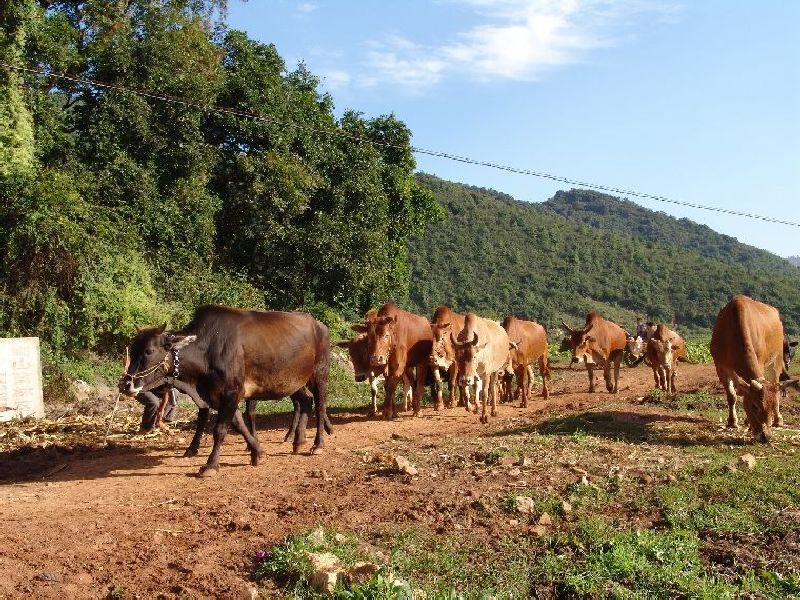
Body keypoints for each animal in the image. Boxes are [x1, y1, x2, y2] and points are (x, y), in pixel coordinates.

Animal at [118, 308, 328, 476]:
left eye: (149, 351)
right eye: (133, 349)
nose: (125, 384)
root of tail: (318, 324)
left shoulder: (232, 392)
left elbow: (220, 430)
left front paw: (210, 465)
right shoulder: (218, 396)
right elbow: (238, 424)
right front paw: (258, 452)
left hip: (319, 374)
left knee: (320, 406)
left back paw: (317, 444)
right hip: (295, 382)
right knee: (306, 401)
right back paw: (298, 441)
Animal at [712, 296, 800, 440]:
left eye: (769, 407)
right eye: (754, 406)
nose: (766, 436)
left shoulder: (761, 362)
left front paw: (748, 425)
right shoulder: (720, 367)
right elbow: (732, 396)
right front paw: (732, 422)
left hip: (775, 361)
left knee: (776, 389)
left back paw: (778, 420)